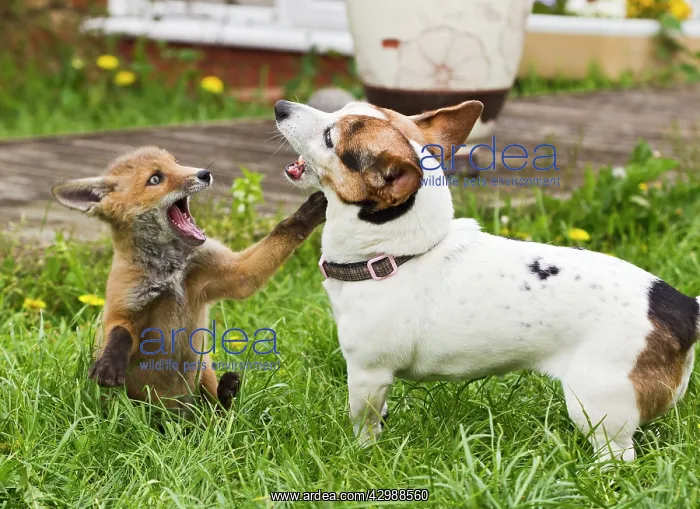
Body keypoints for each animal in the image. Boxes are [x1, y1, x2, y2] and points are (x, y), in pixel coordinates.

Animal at [51, 146, 327, 410]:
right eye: (155, 179)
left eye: (176, 162)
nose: (204, 173)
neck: (173, 271)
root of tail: (177, 413)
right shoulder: (124, 304)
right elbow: (119, 333)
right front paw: (108, 364)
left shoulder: (232, 274)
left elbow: (282, 232)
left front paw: (311, 209)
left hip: (205, 372)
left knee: (217, 409)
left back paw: (227, 396)